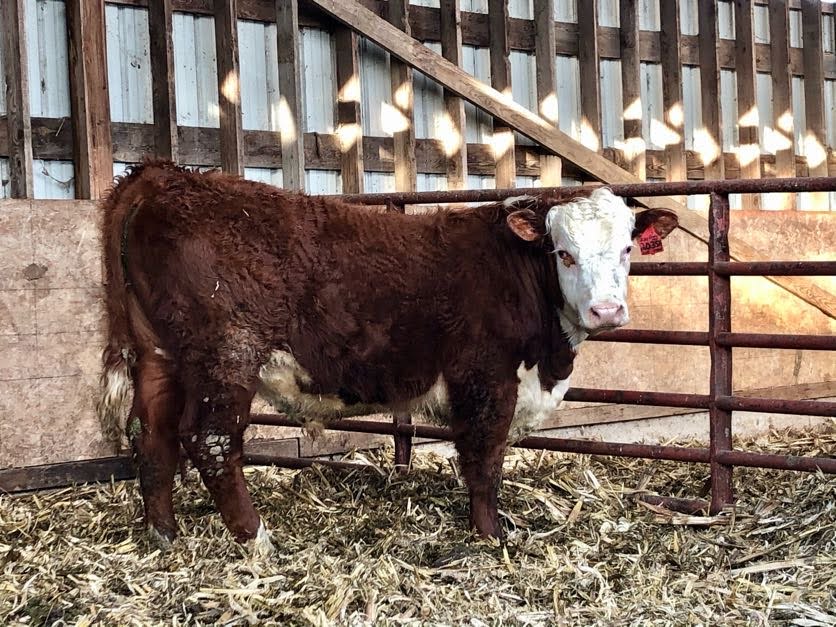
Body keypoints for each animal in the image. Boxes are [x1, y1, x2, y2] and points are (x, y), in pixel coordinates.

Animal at [97, 160, 678, 554]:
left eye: (627, 248)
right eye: (564, 253)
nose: (607, 310)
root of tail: (166, 177)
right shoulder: (485, 379)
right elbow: (483, 459)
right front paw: (491, 535)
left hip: (158, 353)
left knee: (151, 436)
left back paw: (165, 535)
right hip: (226, 352)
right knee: (211, 441)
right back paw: (257, 539)